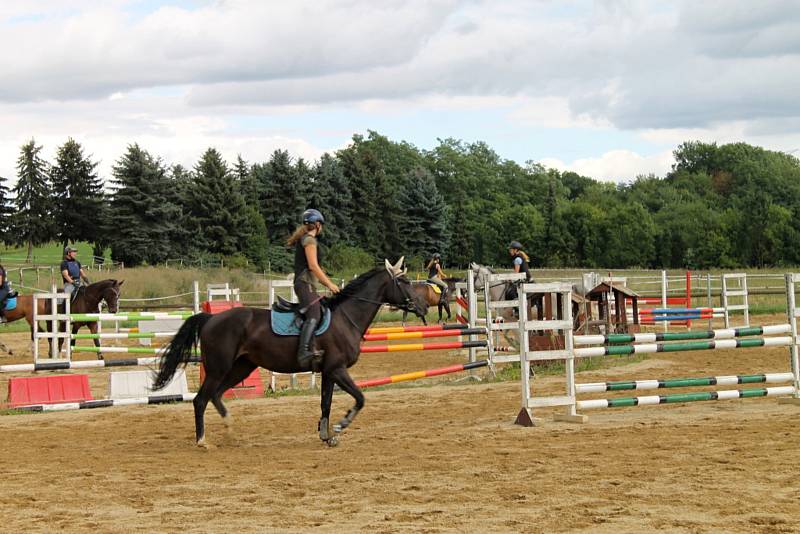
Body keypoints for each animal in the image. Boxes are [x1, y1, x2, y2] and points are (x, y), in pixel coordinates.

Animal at [155, 260, 428, 448]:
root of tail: (211, 318)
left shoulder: (328, 372)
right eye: (404, 282)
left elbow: (326, 403)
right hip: (218, 368)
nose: (424, 306)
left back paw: (229, 427)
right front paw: (341, 425)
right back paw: (202, 440)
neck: (346, 318)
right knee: (201, 399)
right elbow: (360, 398)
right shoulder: (337, 369)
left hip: (242, 367)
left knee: (216, 395)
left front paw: (326, 435)